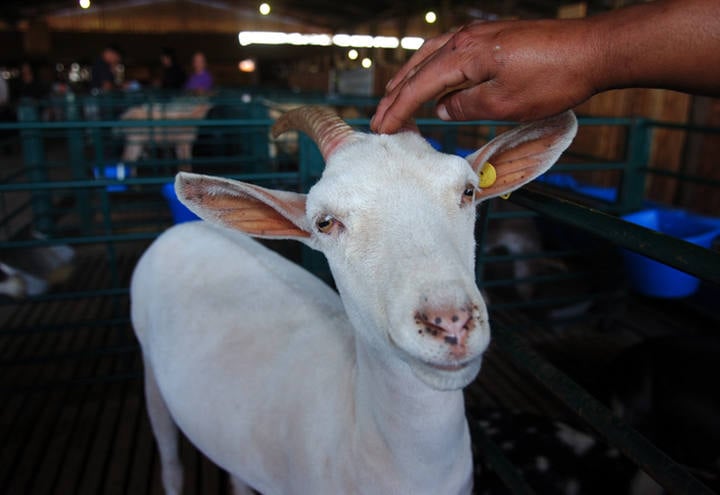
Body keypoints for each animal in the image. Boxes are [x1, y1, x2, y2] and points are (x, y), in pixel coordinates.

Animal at [131, 106, 580, 494]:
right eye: (325, 222)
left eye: (469, 191)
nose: (450, 322)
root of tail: (185, 229)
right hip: (151, 372)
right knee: (170, 462)